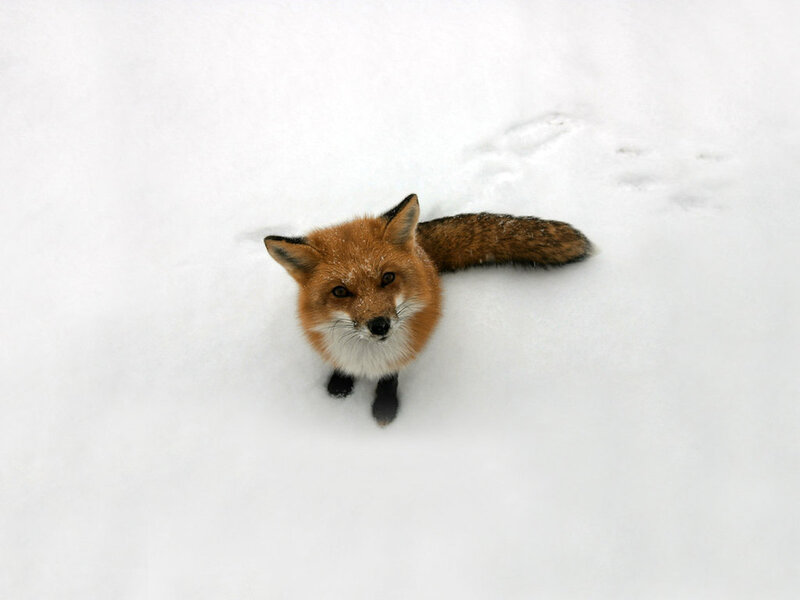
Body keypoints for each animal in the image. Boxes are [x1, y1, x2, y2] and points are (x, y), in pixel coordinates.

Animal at [264, 194, 591, 426]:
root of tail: (420, 247)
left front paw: (385, 408)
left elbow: (390, 377)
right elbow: (340, 366)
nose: (379, 325)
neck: (368, 358)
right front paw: (339, 385)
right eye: (340, 292)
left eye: (388, 278)